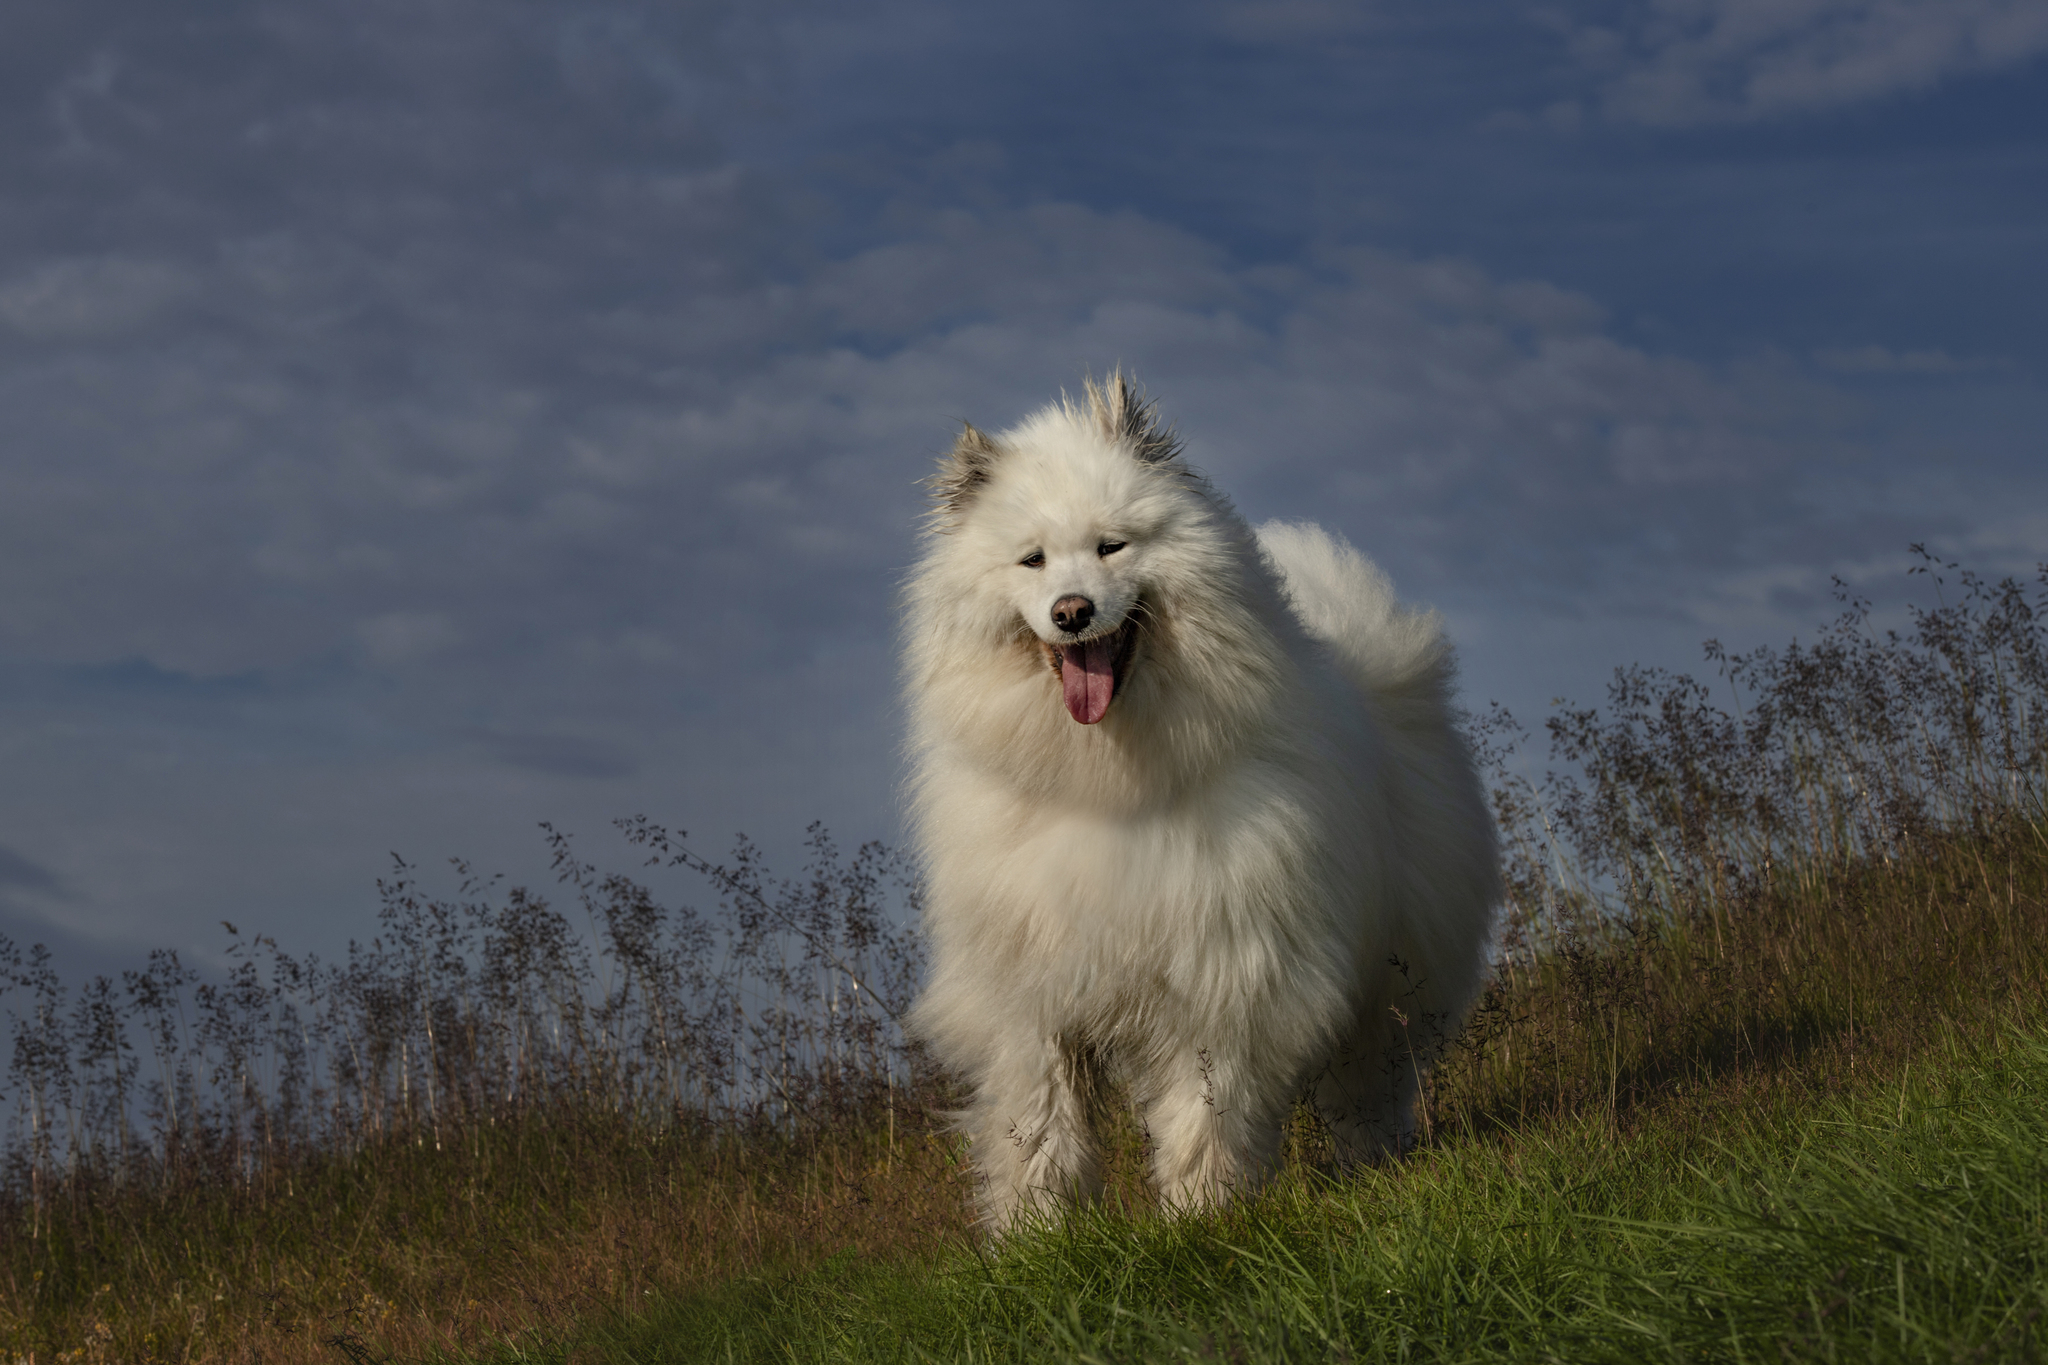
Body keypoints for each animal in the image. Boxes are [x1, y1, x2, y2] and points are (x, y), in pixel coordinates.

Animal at [905, 370, 1499, 1227]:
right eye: (1033, 560)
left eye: (1112, 546)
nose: (1072, 611)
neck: (1103, 782)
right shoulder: (1028, 993)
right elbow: (1039, 1124)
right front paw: (1037, 1232)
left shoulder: (1222, 974)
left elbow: (1202, 1110)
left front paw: (1201, 1215)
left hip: (1391, 978)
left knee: (1373, 1082)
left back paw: (1375, 1160)